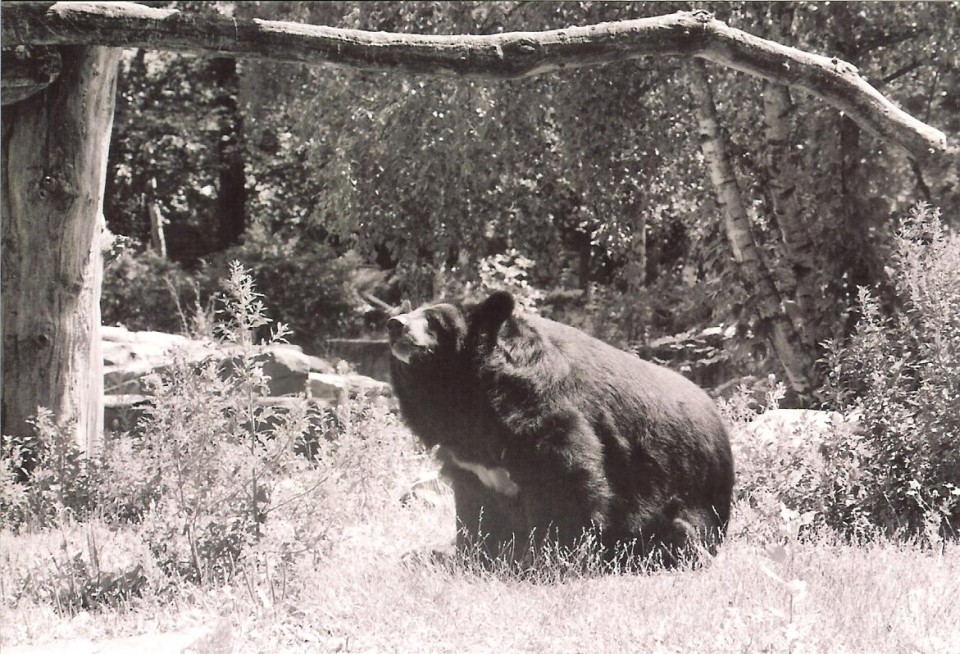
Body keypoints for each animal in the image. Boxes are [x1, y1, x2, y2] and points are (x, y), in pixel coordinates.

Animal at [386, 292, 732, 568]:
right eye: (412, 313)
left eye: (433, 321)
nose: (394, 324)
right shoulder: (470, 460)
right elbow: (477, 508)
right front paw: (474, 556)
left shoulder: (544, 416)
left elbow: (565, 486)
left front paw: (548, 561)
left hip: (682, 510)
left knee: (677, 537)